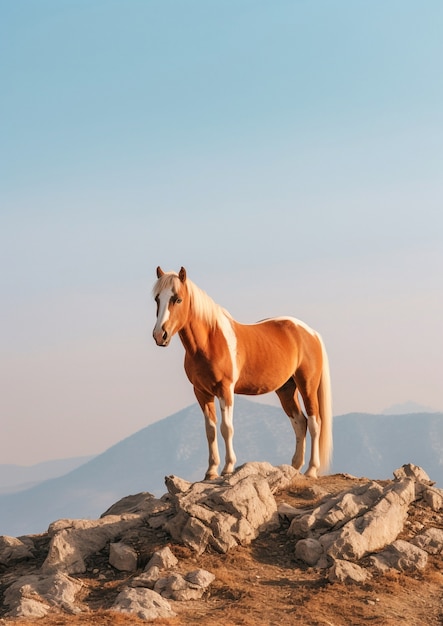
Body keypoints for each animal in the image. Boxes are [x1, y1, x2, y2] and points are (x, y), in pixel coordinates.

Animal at [153, 264, 332, 478]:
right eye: (157, 299)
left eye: (178, 299)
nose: (159, 335)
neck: (209, 341)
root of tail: (311, 333)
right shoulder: (202, 392)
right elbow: (210, 431)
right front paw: (211, 471)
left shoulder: (225, 390)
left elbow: (226, 428)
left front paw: (228, 467)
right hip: (286, 390)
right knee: (299, 422)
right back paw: (294, 468)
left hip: (307, 386)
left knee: (314, 423)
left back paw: (311, 470)